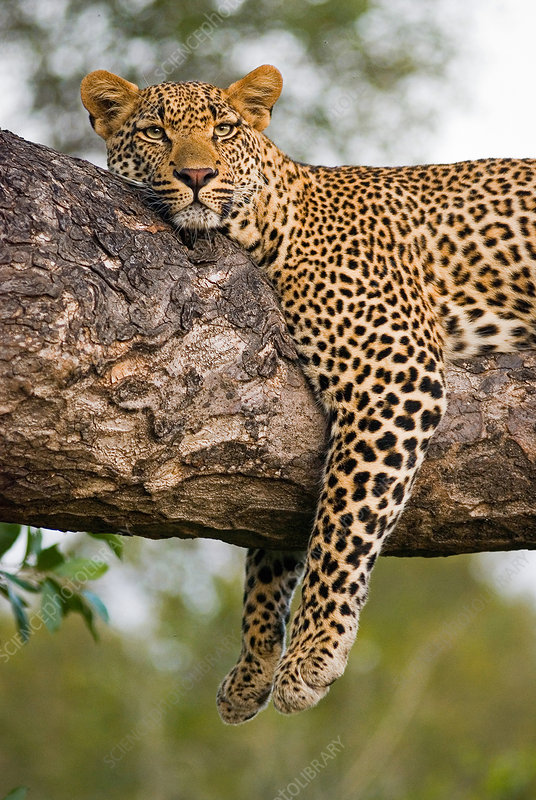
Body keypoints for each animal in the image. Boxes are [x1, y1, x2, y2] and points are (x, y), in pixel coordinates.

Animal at [81, 64, 536, 724]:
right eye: (154, 133)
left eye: (224, 129)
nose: (197, 176)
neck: (269, 222)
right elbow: (271, 553)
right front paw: (253, 666)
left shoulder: (393, 374)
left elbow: (343, 523)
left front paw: (311, 654)